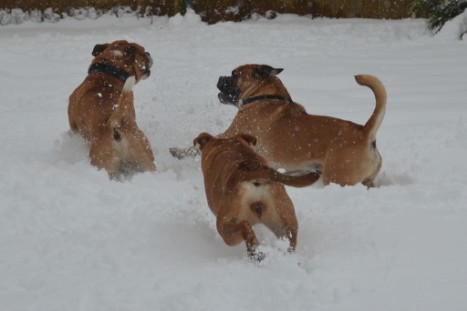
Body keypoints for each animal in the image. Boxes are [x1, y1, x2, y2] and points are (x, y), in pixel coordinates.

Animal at [68, 40, 155, 179]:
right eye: (143, 51)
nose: (148, 53)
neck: (109, 73)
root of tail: (114, 124)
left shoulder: (74, 127)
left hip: (103, 164)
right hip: (146, 160)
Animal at [174, 64, 386, 188]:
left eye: (235, 74)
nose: (219, 78)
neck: (264, 96)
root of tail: (364, 132)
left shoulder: (231, 134)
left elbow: (199, 145)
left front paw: (178, 152)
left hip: (338, 177)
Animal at [194, 132, 322, 260]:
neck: (229, 145)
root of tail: (254, 169)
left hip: (225, 225)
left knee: (245, 227)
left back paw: (255, 252)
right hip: (281, 217)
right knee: (290, 237)